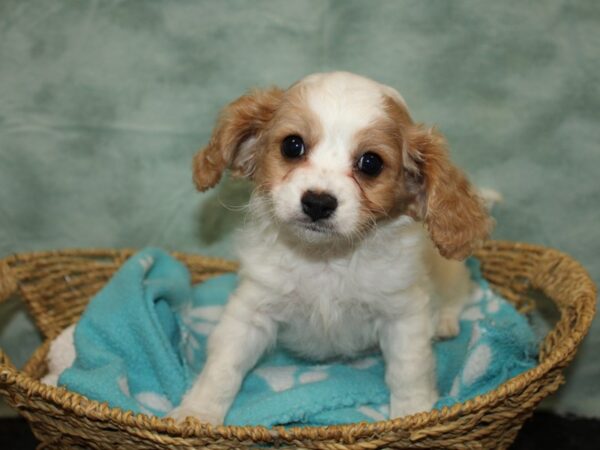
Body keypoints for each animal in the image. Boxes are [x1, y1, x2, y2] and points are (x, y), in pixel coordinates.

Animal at [169, 72, 492, 424]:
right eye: (292, 145)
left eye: (370, 163)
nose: (318, 202)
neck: (325, 257)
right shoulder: (252, 308)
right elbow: (224, 365)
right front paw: (198, 413)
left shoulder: (403, 316)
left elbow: (409, 371)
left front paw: (413, 415)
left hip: (448, 270)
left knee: (461, 290)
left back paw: (445, 321)